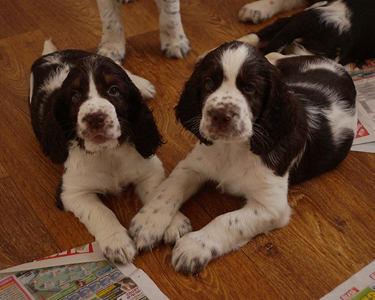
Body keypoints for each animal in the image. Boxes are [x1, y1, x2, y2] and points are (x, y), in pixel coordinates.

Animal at [28, 39, 191, 262]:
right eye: (75, 95)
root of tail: (51, 55)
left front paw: (172, 222)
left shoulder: (149, 169)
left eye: (114, 90)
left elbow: (159, 192)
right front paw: (117, 243)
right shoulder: (72, 192)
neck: (108, 152)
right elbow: (100, 212)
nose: (95, 118)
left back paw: (143, 85)